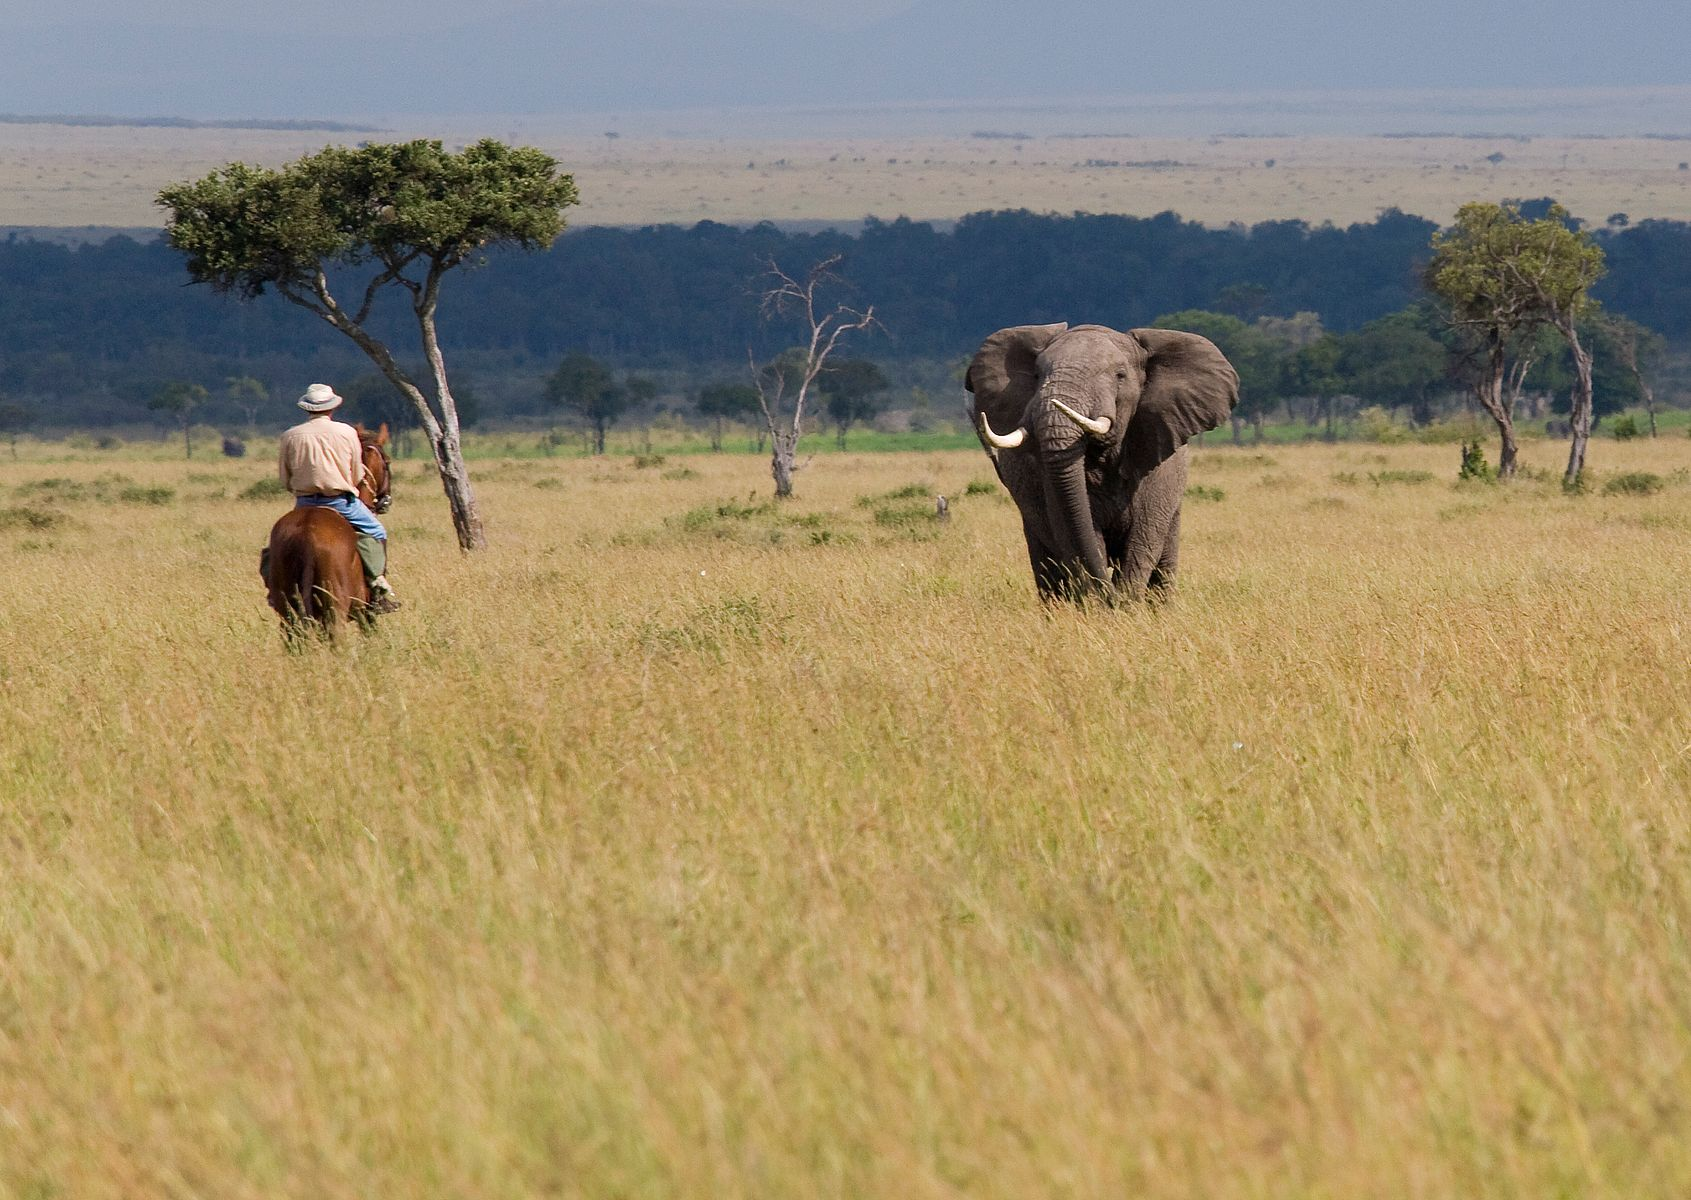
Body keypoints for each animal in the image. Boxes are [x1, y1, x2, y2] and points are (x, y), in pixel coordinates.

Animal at [965, 323, 1238, 602]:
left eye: (1120, 375)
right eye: (1037, 375)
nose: (1110, 597)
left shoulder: (1159, 468)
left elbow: (1142, 540)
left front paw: (1125, 602)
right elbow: (1078, 535)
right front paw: (1101, 602)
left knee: (1163, 561)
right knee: (1047, 566)